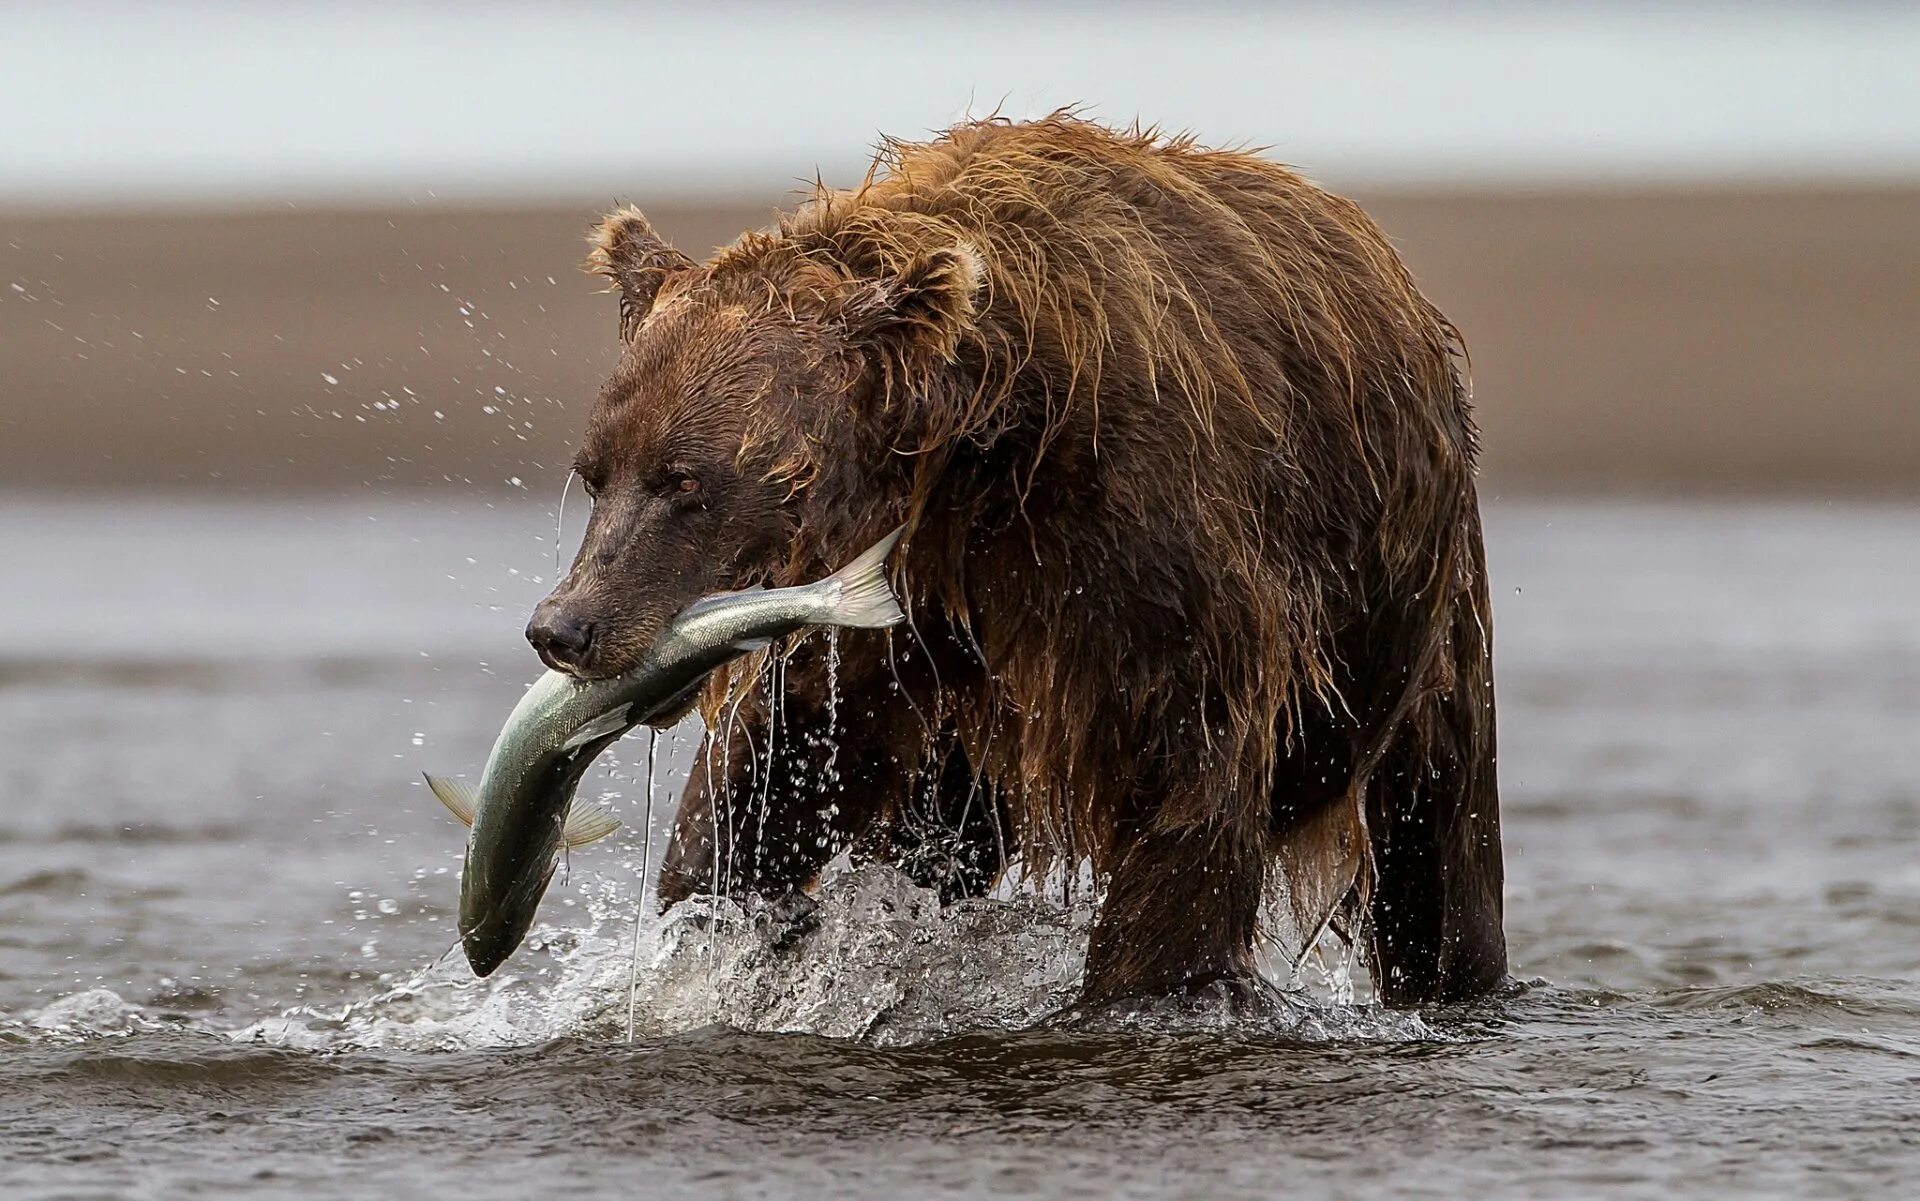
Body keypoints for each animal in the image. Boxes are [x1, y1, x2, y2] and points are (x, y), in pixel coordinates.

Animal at [529, 117, 1512, 1005]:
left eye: (685, 480)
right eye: (596, 471)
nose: (565, 626)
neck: (978, 442)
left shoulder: (1142, 545)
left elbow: (1186, 784)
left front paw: (1142, 985)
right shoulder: (897, 596)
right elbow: (777, 763)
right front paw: (719, 920)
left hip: (1418, 614)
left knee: (1437, 848)